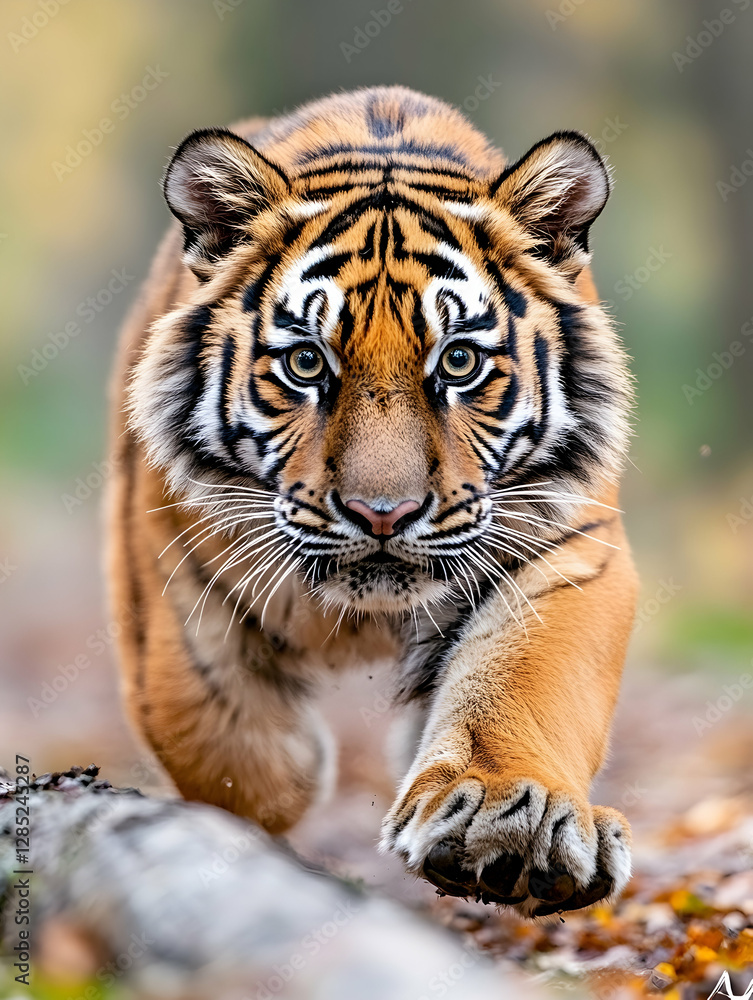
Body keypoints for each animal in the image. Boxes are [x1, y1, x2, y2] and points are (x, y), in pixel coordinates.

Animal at [108, 85, 638, 918]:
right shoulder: (167, 560)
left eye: (458, 361)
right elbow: (213, 733)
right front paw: (277, 797)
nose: (382, 513)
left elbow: (523, 681)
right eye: (304, 362)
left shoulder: (568, 550)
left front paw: (508, 826)